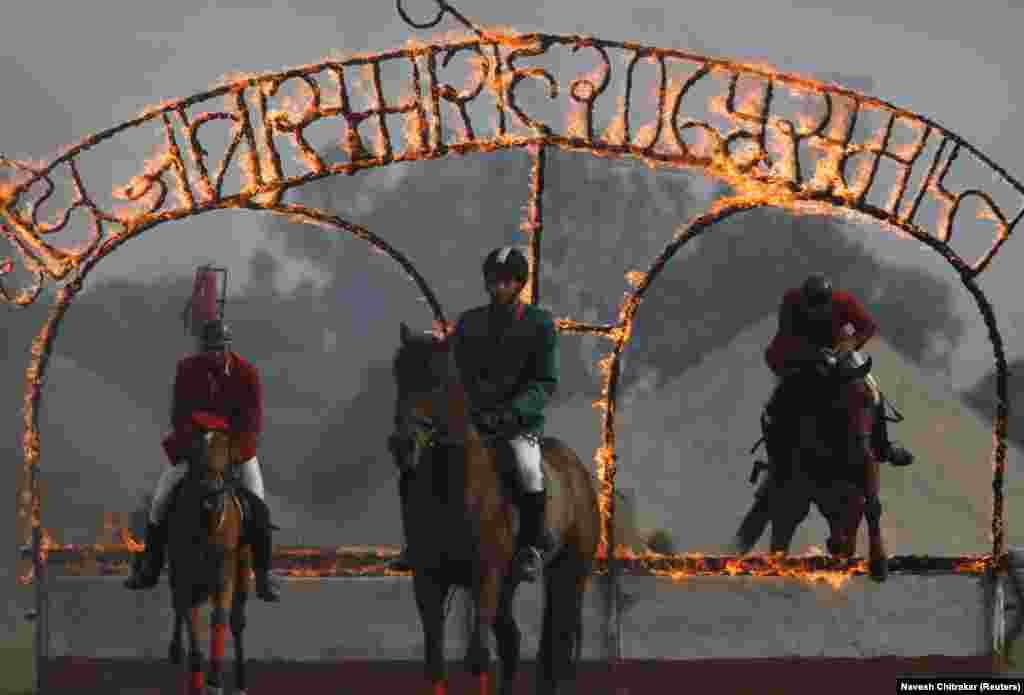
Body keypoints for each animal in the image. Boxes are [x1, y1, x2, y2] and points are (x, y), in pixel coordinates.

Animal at [166, 415, 254, 691]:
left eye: (224, 447)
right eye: (195, 446)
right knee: (178, 607)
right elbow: (190, 621)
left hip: (241, 568)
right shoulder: (185, 575)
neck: (207, 520)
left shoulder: (223, 574)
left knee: (236, 620)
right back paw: (175, 650)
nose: (209, 494)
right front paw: (197, 681)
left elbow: (219, 619)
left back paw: (241, 679)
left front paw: (215, 679)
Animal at [389, 323, 598, 691]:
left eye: (438, 379)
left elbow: (477, 660)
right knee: (513, 641)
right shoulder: (428, 580)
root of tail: (578, 470)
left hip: (568, 575)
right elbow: (435, 665)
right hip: (508, 586)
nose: (402, 444)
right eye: (398, 373)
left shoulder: (485, 576)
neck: (451, 490)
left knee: (559, 644)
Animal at [729, 350, 888, 585]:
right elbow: (789, 514)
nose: (859, 450)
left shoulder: (867, 469)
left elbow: (871, 506)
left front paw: (878, 563)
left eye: (869, 402)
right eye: (841, 406)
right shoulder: (804, 481)